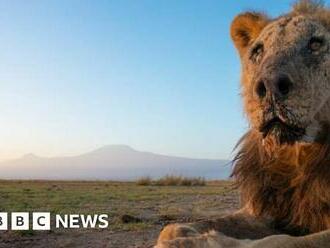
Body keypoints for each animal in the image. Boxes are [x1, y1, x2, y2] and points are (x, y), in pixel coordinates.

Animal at [155, 0, 330, 248]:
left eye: (315, 44)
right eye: (258, 51)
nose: (270, 85)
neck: (298, 158)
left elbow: (275, 241)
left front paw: (203, 241)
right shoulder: (269, 210)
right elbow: (173, 227)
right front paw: (181, 235)